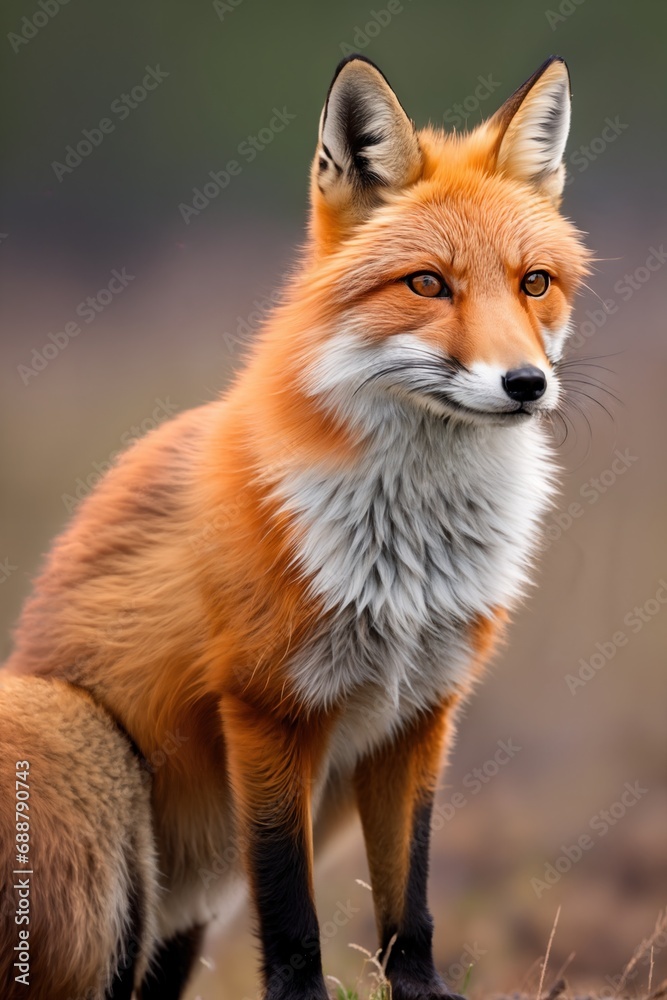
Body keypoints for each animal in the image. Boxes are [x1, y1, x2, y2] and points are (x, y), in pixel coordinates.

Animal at [3, 56, 588, 1000]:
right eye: (427, 283)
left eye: (533, 283)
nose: (525, 383)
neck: (407, 560)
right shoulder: (266, 706)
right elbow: (290, 910)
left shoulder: (418, 715)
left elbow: (409, 902)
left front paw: (423, 991)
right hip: (91, 776)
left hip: (199, 895)